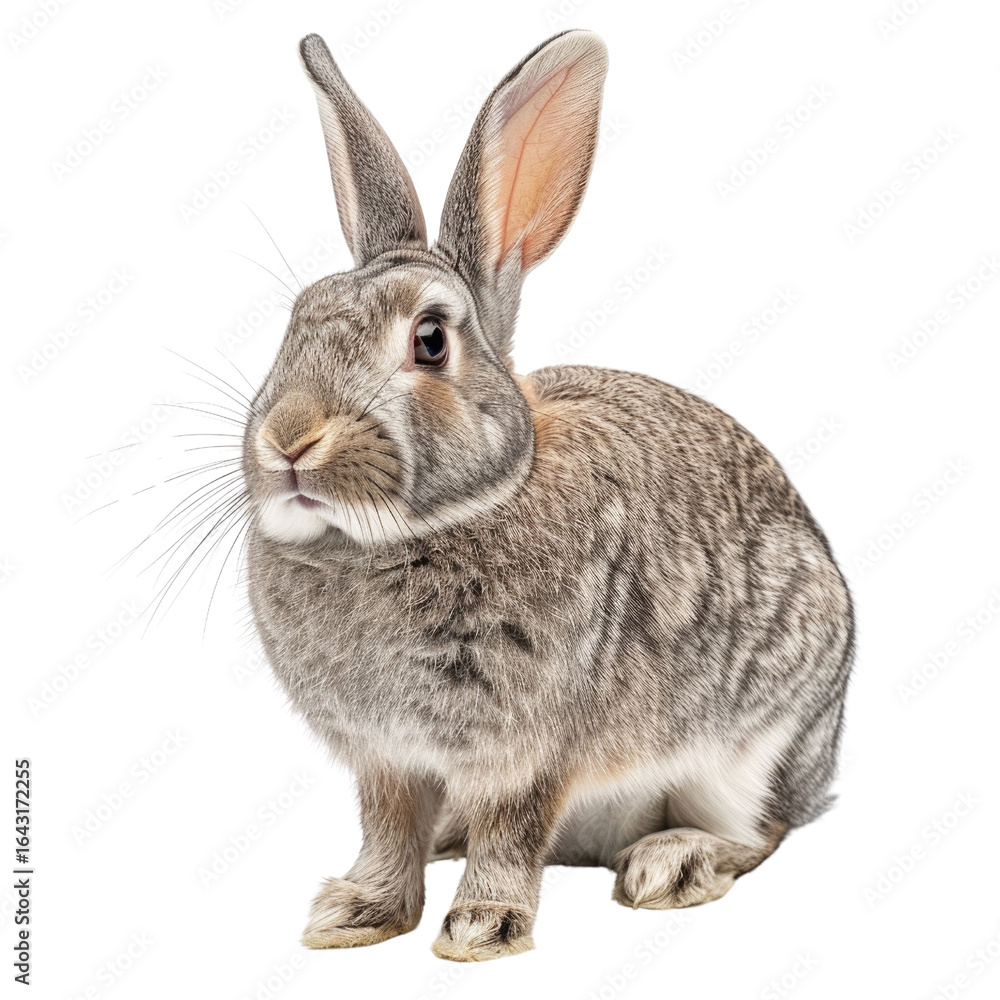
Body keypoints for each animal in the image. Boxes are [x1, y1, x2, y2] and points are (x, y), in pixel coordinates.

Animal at [242, 30, 854, 962]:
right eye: (295, 321)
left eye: (430, 340)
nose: (288, 440)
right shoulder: (386, 758)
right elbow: (387, 830)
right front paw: (355, 914)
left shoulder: (532, 743)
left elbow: (512, 828)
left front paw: (481, 929)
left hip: (755, 747)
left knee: (762, 830)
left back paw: (673, 862)